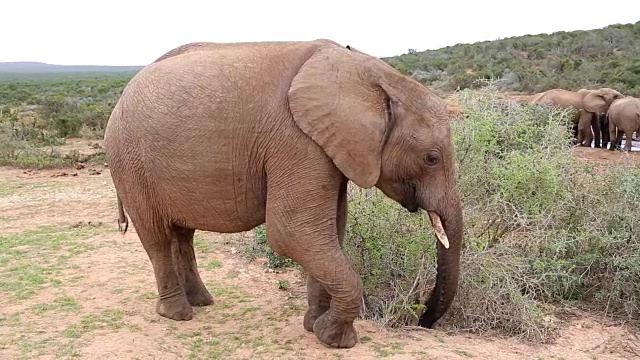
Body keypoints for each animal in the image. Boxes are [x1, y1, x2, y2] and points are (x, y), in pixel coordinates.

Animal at [105, 39, 464, 348]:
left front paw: (313, 326)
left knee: (183, 235)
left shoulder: (325, 146)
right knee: (157, 238)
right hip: (129, 162)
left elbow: (330, 231)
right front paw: (335, 339)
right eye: (432, 158)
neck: (372, 76)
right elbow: (294, 232)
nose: (422, 321)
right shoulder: (297, 141)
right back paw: (178, 314)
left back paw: (202, 302)